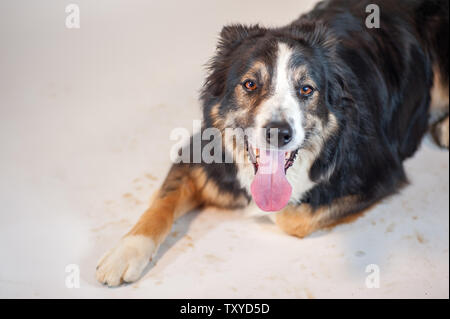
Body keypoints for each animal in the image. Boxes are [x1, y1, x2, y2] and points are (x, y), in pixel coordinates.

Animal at [95, 0, 446, 288]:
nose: (279, 132)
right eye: (250, 84)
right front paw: (124, 252)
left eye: (306, 89)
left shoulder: (380, 171)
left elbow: (290, 217)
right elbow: (161, 202)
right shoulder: (199, 153)